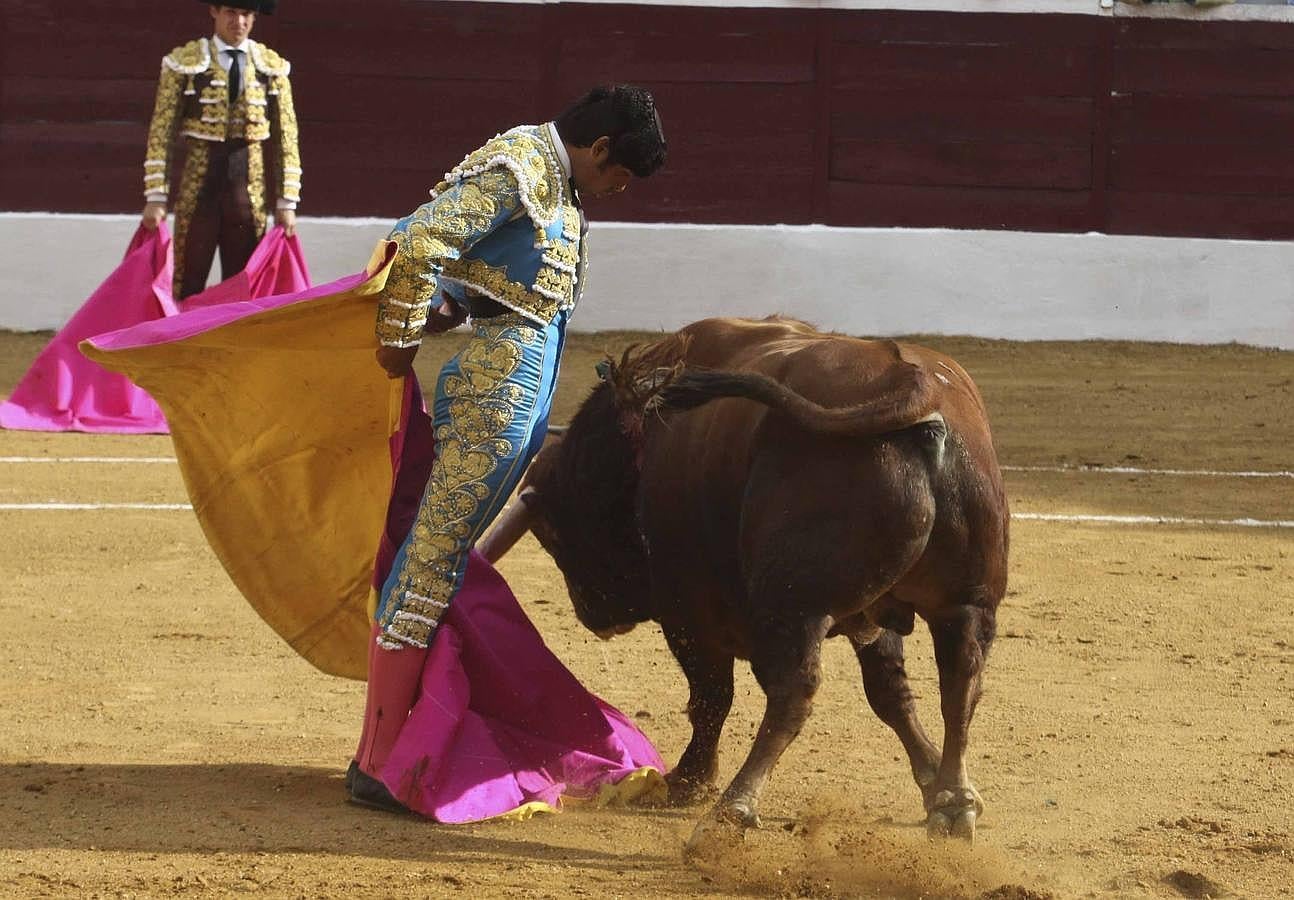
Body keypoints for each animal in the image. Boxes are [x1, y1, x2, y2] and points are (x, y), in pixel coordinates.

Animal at [481, 316, 1004, 848]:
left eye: (552, 534)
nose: (591, 612)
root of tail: (912, 383)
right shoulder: (870, 616)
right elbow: (890, 692)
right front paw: (931, 781)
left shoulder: (687, 612)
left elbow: (711, 697)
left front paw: (688, 780)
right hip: (966, 603)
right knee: (961, 683)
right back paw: (955, 802)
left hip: (795, 609)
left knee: (792, 693)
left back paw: (731, 810)